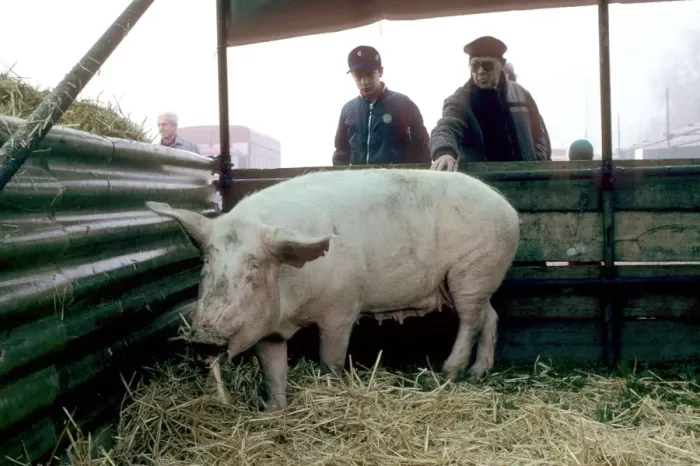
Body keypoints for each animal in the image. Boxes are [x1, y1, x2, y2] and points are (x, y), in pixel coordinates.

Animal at [145, 167, 520, 411]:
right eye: (206, 261)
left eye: (254, 265)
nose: (205, 338)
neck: (292, 310)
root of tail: (509, 209)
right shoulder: (267, 328)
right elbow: (273, 370)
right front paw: (274, 411)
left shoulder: (342, 308)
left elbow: (331, 359)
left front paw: (329, 391)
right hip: (473, 281)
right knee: (490, 316)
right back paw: (478, 373)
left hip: (471, 272)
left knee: (470, 321)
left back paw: (449, 373)